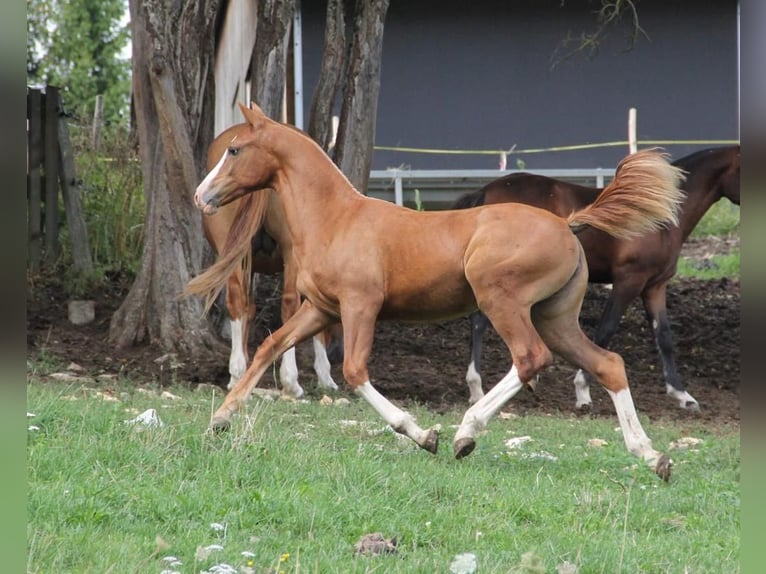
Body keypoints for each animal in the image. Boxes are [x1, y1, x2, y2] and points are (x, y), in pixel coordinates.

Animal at [192, 125, 342, 397]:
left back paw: (236, 372)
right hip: (289, 254)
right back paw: (291, 381)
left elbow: (248, 309)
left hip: (231, 253)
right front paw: (325, 375)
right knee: (288, 304)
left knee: (236, 302)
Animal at [453, 145, 740, 411]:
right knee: (480, 324)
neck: (659, 220)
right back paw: (478, 388)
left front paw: (682, 395)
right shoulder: (628, 281)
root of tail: (486, 192)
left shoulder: (655, 286)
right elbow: (606, 328)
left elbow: (664, 337)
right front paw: (582, 391)